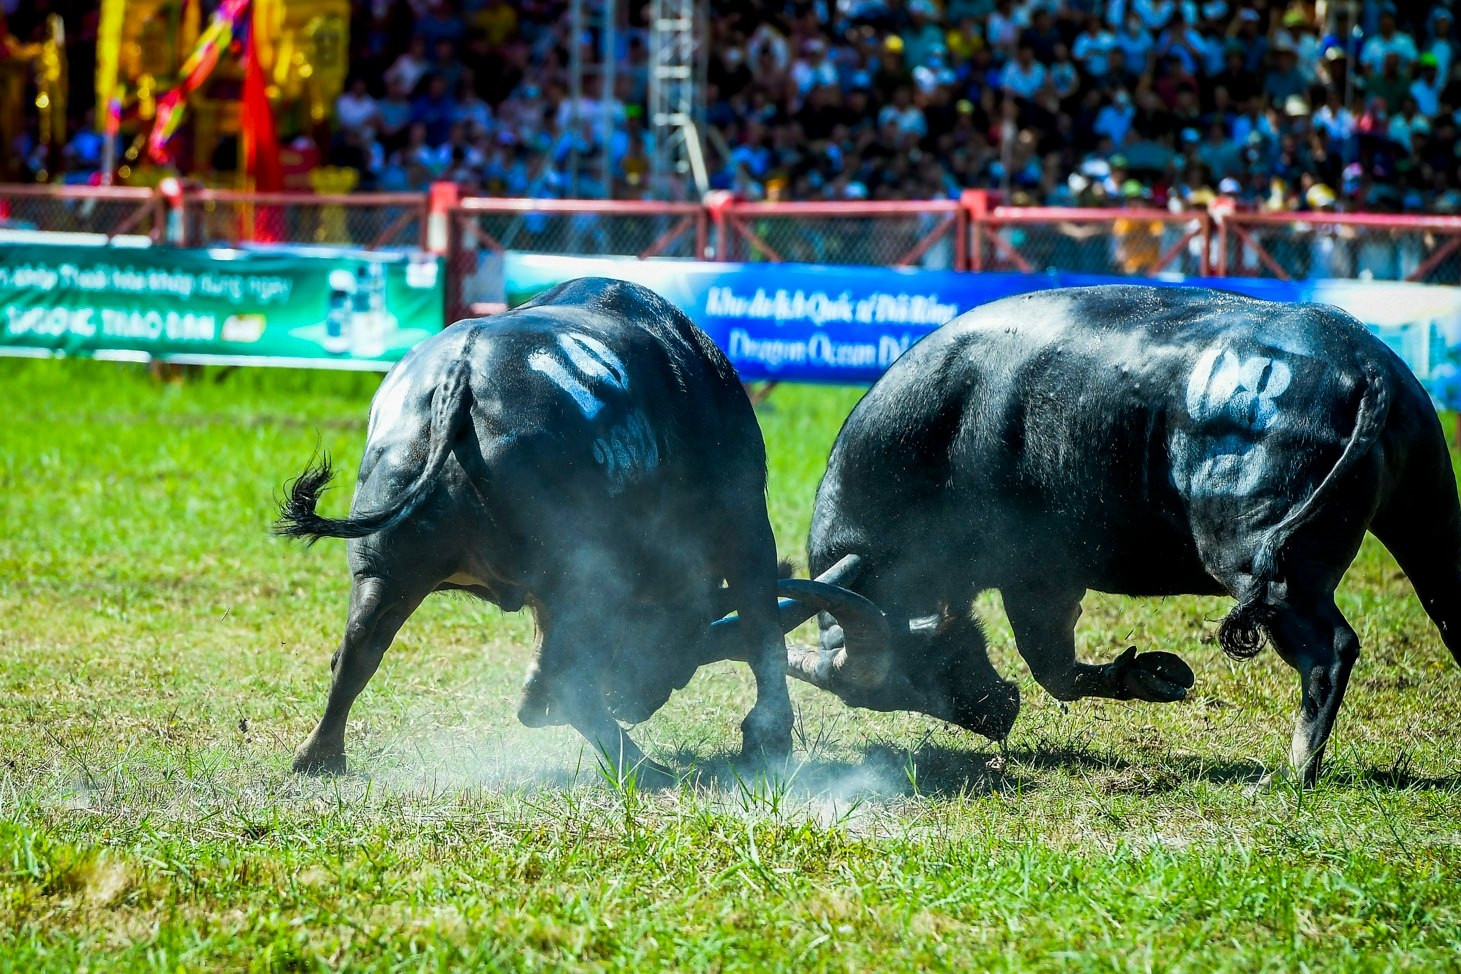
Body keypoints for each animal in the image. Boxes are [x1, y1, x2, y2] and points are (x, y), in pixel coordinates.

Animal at [279, 277, 882, 782]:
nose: (637, 700)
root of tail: (461, 373)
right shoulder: (744, 520)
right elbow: (761, 627)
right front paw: (768, 739)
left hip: (387, 570)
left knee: (358, 650)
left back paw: (319, 756)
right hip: (580, 577)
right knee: (566, 686)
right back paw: (644, 768)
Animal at [788, 281, 1461, 782]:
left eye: (918, 663)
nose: (995, 716)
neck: (948, 433)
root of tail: (1367, 368)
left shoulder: (1035, 578)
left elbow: (1048, 665)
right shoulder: (1048, 583)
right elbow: (1056, 668)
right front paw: (1151, 675)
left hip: (1264, 570)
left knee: (1330, 651)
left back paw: (1294, 770)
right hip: (1427, 524)